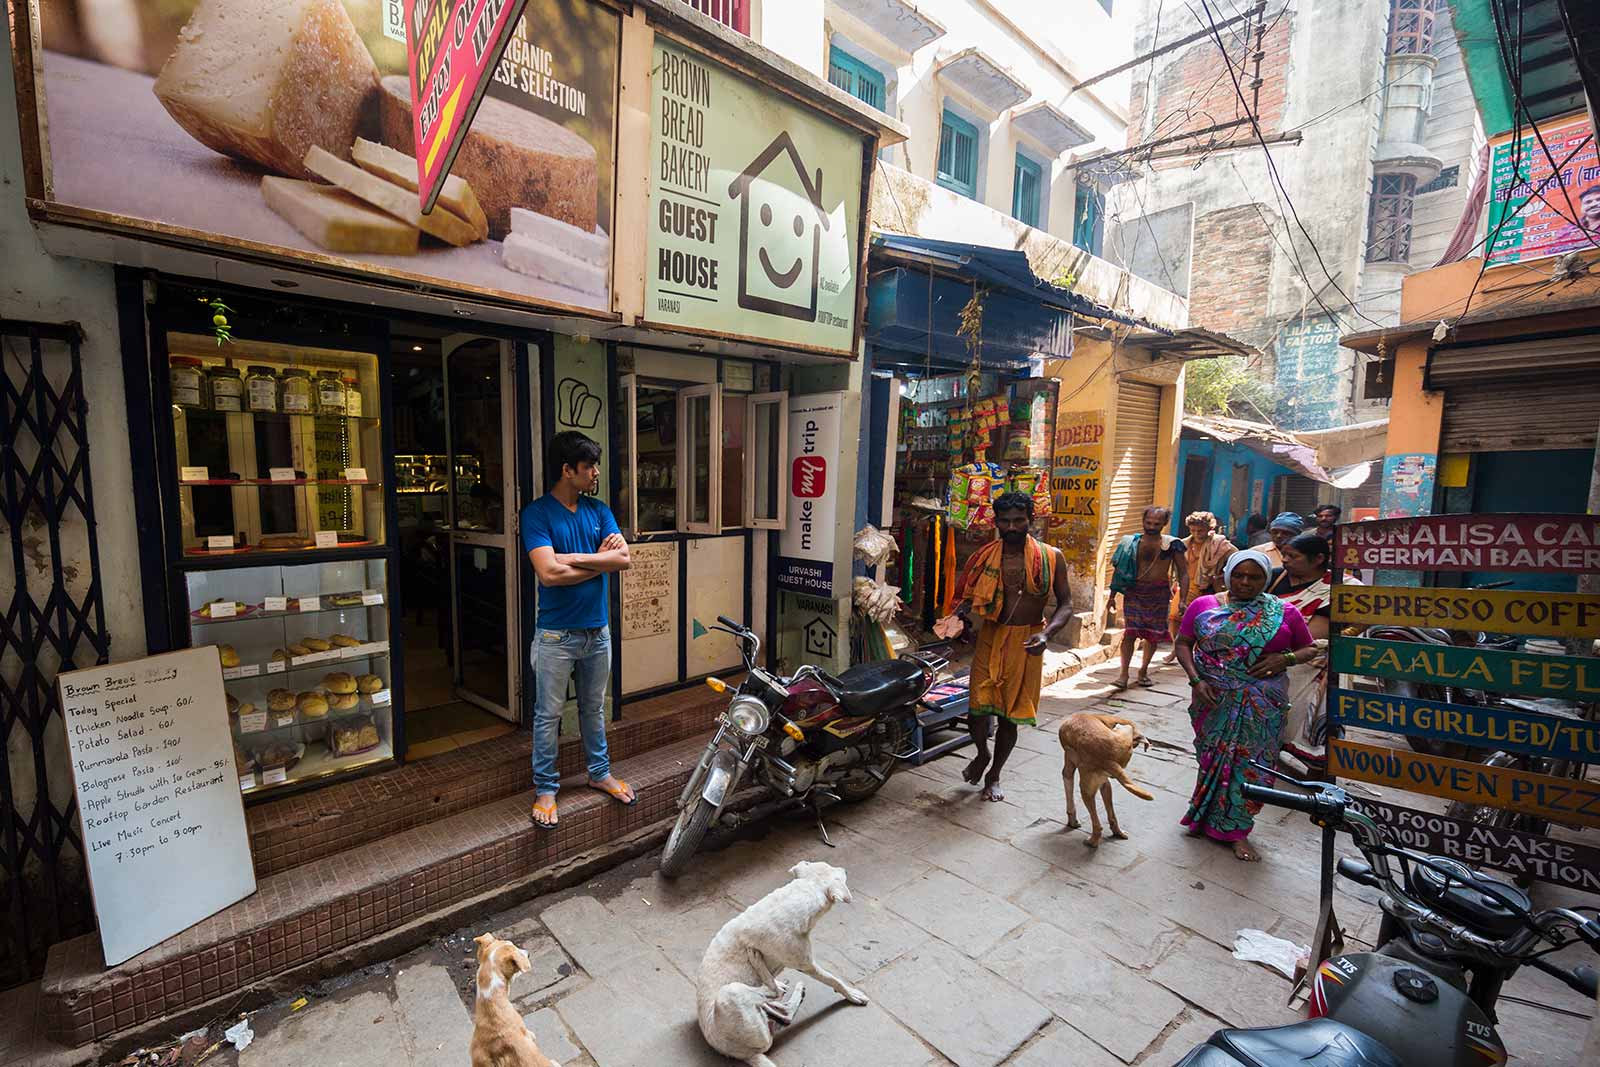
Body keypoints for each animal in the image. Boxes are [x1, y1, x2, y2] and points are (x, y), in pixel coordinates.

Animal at [697, 857, 870, 1067]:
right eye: (838, 873)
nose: (845, 869)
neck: (796, 895)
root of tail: (740, 1054)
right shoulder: (807, 965)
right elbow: (834, 980)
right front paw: (852, 994)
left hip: (760, 1008)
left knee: (784, 1011)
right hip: (730, 993)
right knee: (773, 996)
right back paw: (760, 966)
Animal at [1062, 713, 1152, 844]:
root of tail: (1108, 758)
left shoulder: (1068, 765)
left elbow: (1069, 792)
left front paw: (1072, 821)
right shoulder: (1103, 783)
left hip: (1086, 790)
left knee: (1097, 825)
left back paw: (1092, 842)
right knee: (1112, 817)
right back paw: (1118, 833)